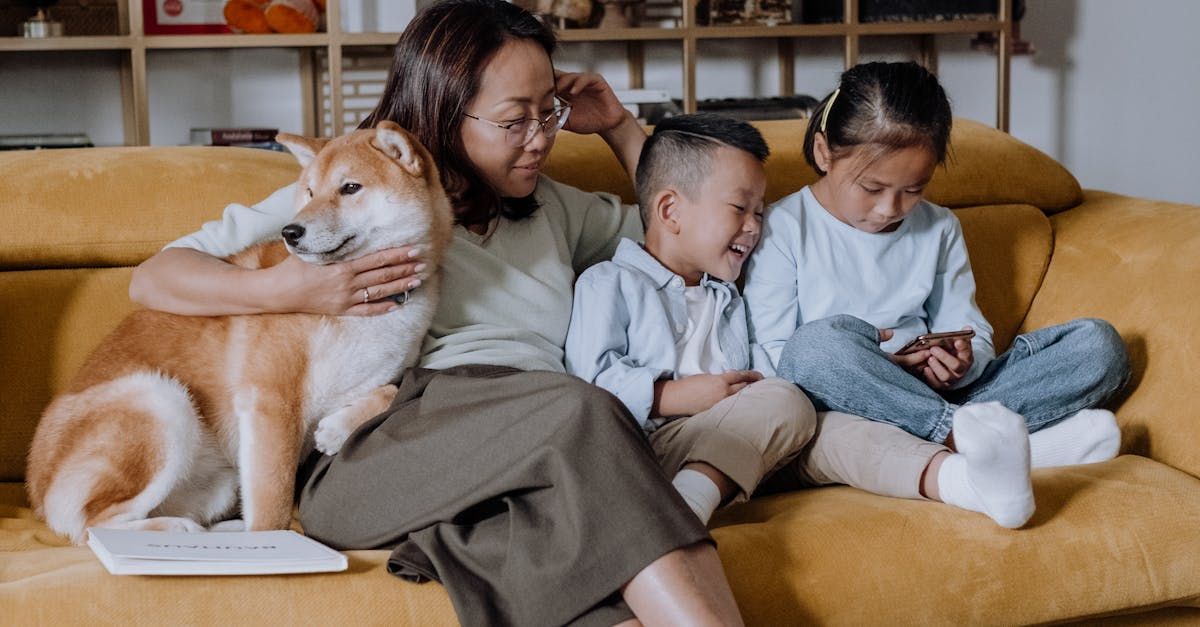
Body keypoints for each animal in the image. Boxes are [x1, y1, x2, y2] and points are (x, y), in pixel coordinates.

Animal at [23, 121, 453, 540]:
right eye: (309, 192)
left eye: (350, 188)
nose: (290, 231)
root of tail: (36, 490)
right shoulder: (271, 402)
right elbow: (273, 508)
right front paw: (273, 545)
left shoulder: (376, 376)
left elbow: (392, 391)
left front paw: (336, 429)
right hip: (160, 400)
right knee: (93, 524)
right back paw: (181, 532)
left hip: (223, 479)